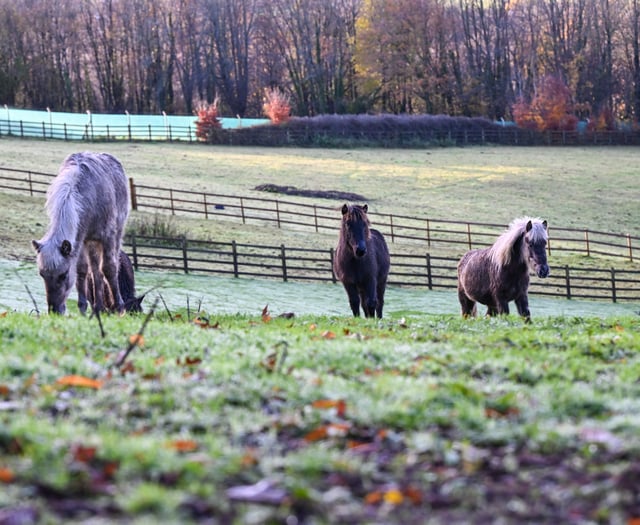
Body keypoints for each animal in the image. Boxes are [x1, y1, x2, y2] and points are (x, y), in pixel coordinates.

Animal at [32, 152, 129, 315]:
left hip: (115, 235)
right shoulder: (81, 240)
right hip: (91, 242)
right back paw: (98, 308)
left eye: (63, 275)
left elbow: (109, 268)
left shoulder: (108, 236)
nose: (55, 311)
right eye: (42, 274)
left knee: (107, 267)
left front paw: (119, 308)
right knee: (95, 272)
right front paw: (83, 308)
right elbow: (82, 270)